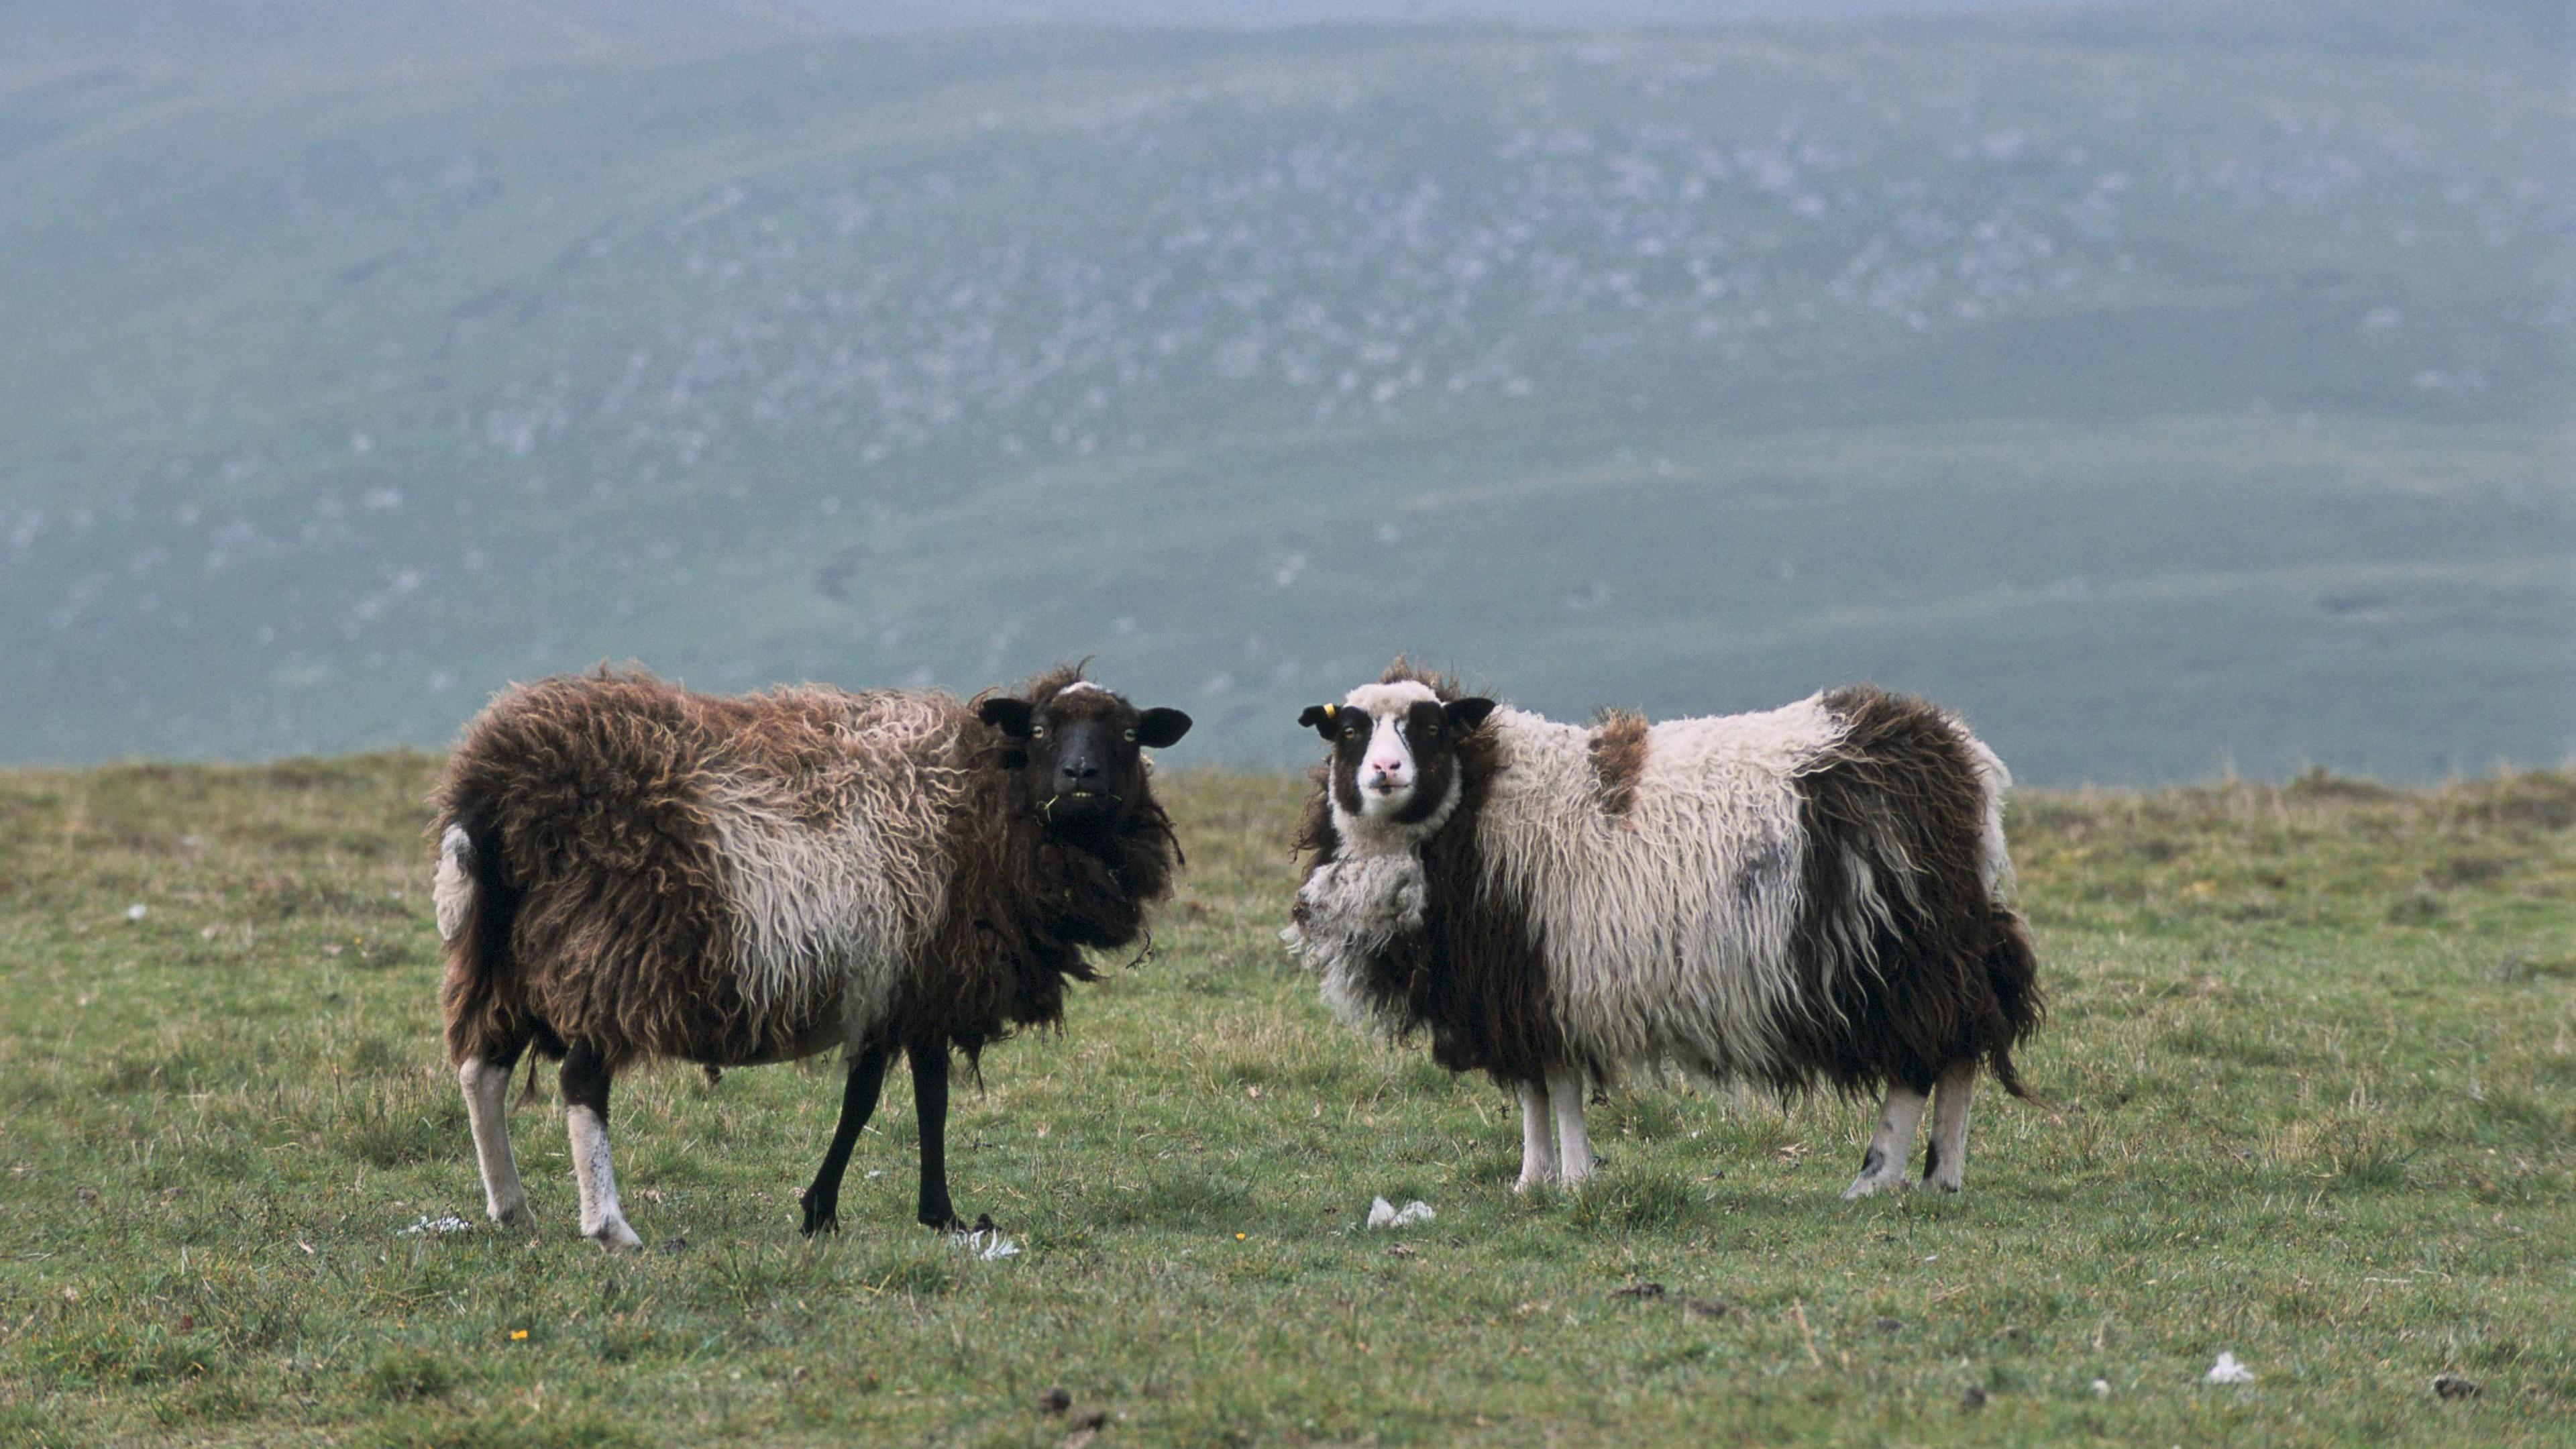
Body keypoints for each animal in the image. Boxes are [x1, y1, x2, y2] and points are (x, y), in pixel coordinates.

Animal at [431, 664, 1191, 1250]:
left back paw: (512, 1211)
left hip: (500, 952)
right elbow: (924, 1098)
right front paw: (934, 1216)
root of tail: (495, 786)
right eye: (1038, 731)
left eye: (1128, 735)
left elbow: (870, 1099)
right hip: (610, 951)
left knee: (481, 1070)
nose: (1081, 775)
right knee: (580, 1083)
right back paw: (610, 1227)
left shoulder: (890, 988)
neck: (986, 800)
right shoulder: (928, 979)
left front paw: (827, 1212)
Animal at [1282, 662, 2040, 1199]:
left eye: (1431, 729)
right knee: (1960, 1050)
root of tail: (1962, 757)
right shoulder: (1512, 987)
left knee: (1922, 1061)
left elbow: (1560, 1089)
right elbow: (1532, 1093)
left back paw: (1877, 1177)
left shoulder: (1556, 977)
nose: (1385, 771)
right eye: (1348, 732)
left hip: (1899, 950)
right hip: (1937, 941)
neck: (1483, 802)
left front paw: (1575, 1180)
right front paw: (1530, 1181)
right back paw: (1941, 1179)